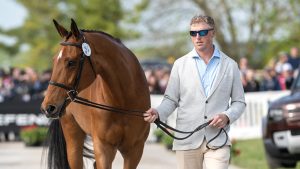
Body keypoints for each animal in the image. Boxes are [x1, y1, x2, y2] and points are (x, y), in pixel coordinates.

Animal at [40, 18, 150, 169]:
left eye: (71, 62)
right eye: (54, 60)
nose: (48, 107)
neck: (124, 101)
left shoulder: (134, 151)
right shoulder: (104, 148)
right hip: (73, 138)